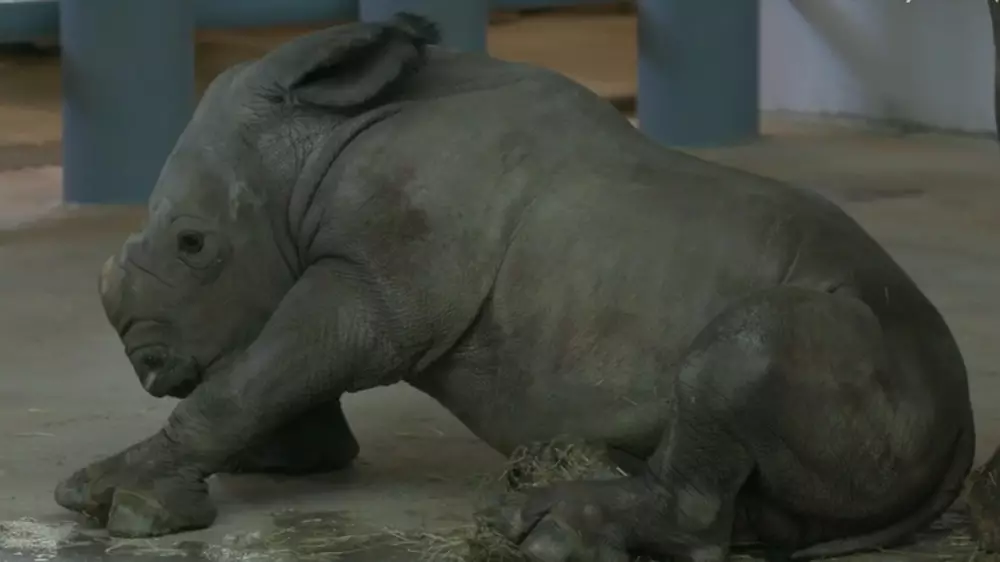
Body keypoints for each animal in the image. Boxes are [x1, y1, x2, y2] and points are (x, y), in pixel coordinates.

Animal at [55, 13, 977, 562]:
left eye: (193, 244)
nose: (148, 364)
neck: (320, 140)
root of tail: (963, 416)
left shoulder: (379, 287)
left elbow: (253, 376)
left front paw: (110, 498)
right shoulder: (349, 279)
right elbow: (265, 373)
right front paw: (268, 462)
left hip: (869, 343)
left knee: (748, 347)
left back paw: (544, 525)